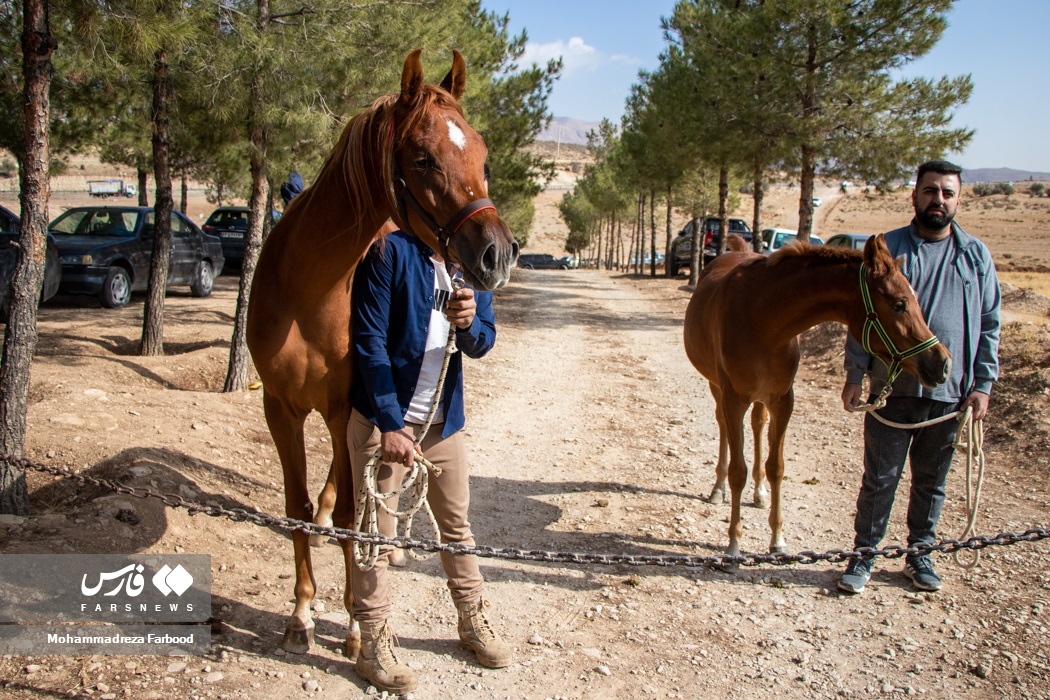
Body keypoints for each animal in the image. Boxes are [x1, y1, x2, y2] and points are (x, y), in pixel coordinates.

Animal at [245, 50, 516, 659]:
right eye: (423, 157)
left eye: (483, 154)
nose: (497, 254)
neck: (308, 287)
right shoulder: (280, 407)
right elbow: (296, 509)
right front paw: (300, 613)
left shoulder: (346, 405)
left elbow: (354, 512)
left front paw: (352, 622)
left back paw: (387, 544)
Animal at [684, 238, 957, 566]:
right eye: (899, 304)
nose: (942, 363)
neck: (762, 318)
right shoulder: (734, 398)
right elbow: (738, 471)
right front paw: (734, 545)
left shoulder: (782, 400)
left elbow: (776, 467)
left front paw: (777, 541)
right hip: (718, 389)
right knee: (724, 427)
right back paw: (718, 488)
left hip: (761, 400)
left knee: (758, 426)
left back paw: (760, 493)